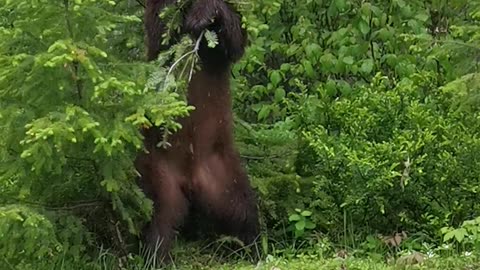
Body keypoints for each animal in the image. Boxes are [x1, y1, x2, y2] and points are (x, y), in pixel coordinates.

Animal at [135, 0, 258, 262]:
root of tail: (192, 180)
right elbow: (161, 28)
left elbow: (235, 39)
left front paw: (205, 14)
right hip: (157, 170)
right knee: (157, 214)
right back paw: (155, 254)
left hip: (224, 175)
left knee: (243, 209)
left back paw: (252, 246)